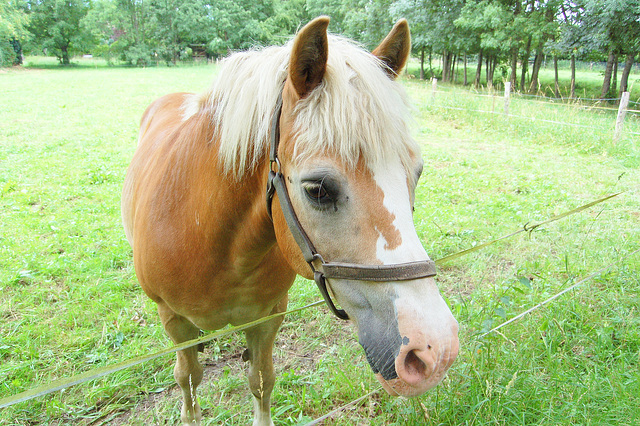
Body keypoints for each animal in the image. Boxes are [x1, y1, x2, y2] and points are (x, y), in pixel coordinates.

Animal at [121, 15, 460, 424]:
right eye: (318, 190)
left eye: (417, 173)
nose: (436, 350)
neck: (211, 239)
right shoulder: (174, 321)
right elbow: (187, 380)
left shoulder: (269, 316)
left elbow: (261, 380)